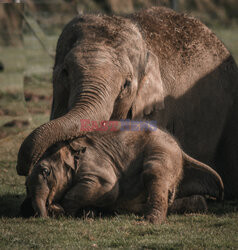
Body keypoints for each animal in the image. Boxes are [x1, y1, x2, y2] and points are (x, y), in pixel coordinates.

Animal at [20, 123, 223, 223]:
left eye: (45, 171)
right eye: (25, 186)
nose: (45, 216)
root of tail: (181, 152)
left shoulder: (94, 162)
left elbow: (107, 186)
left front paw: (59, 209)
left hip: (163, 152)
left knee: (153, 173)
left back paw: (150, 220)